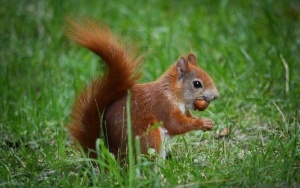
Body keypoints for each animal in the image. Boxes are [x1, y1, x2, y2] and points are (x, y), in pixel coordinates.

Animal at [67, 18, 219, 160]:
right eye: (197, 84)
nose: (216, 96)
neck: (172, 92)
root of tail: (112, 158)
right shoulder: (163, 105)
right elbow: (175, 124)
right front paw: (202, 122)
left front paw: (207, 123)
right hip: (150, 137)